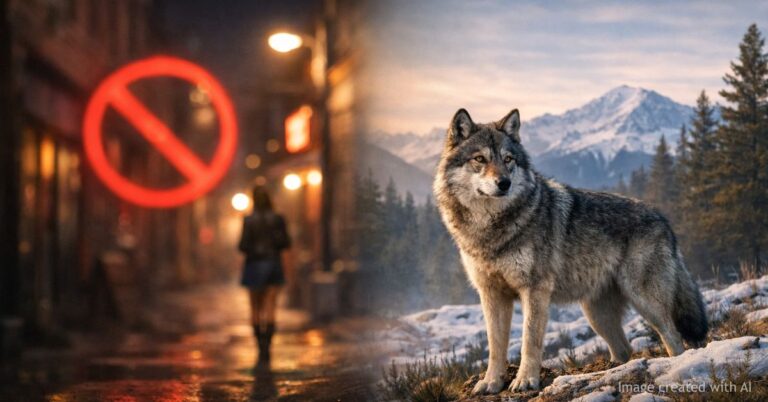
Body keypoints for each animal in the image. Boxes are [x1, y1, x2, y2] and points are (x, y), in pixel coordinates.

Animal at [433, 108, 708, 395]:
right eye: (480, 159)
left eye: (508, 160)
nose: (504, 183)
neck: (492, 229)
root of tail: (663, 219)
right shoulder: (491, 294)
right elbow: (495, 346)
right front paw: (491, 382)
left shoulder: (535, 290)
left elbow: (529, 341)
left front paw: (525, 380)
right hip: (596, 314)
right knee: (624, 348)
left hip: (645, 301)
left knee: (673, 338)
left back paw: (676, 367)